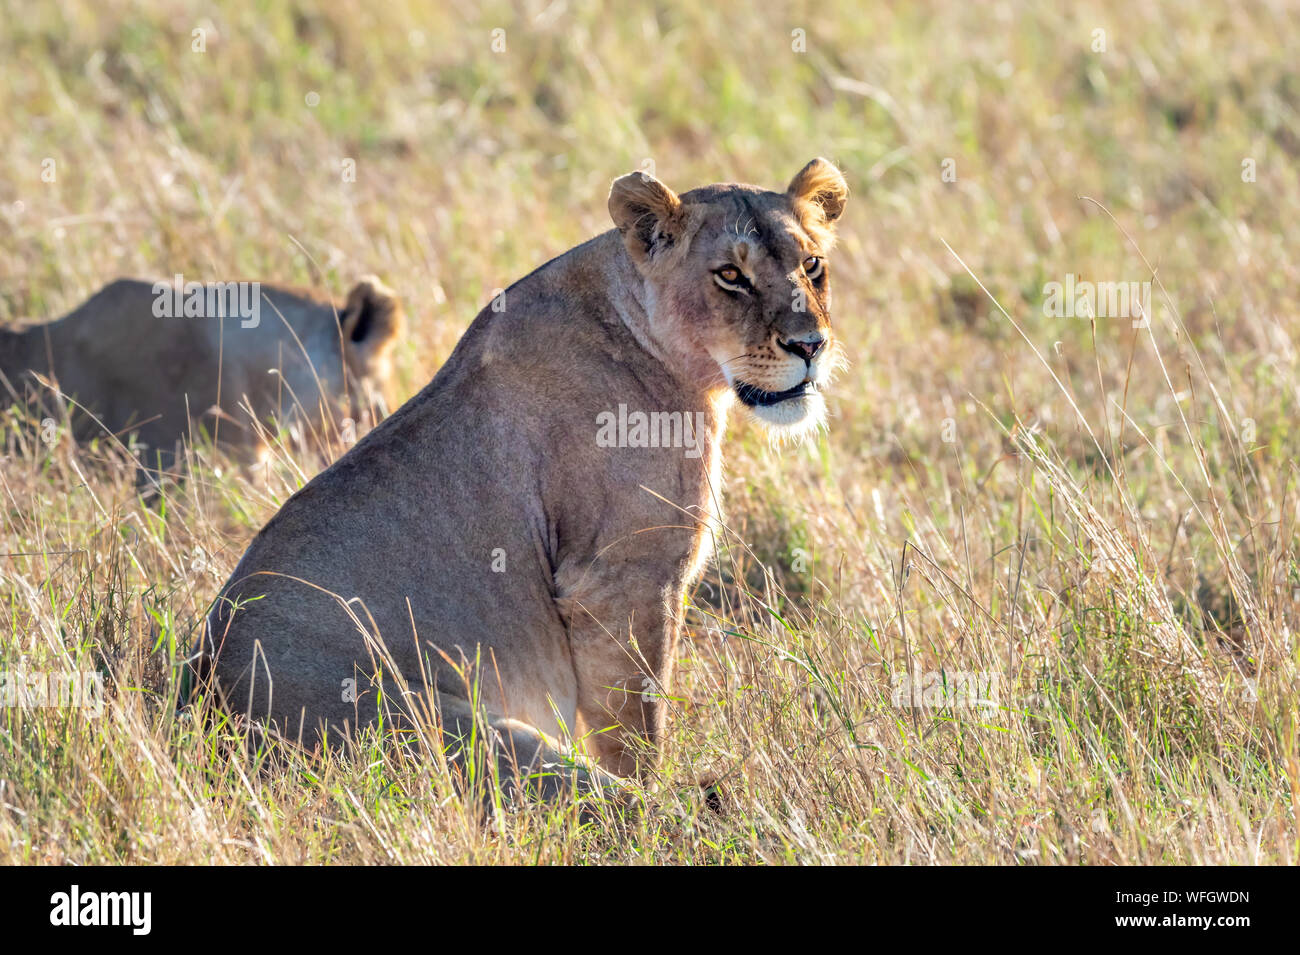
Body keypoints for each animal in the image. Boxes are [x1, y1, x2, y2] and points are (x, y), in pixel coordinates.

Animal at [199, 159, 848, 802]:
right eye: (731, 276)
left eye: (812, 265)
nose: (810, 346)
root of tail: (203, 703)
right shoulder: (622, 578)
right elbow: (637, 729)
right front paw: (654, 776)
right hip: (447, 728)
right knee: (620, 805)